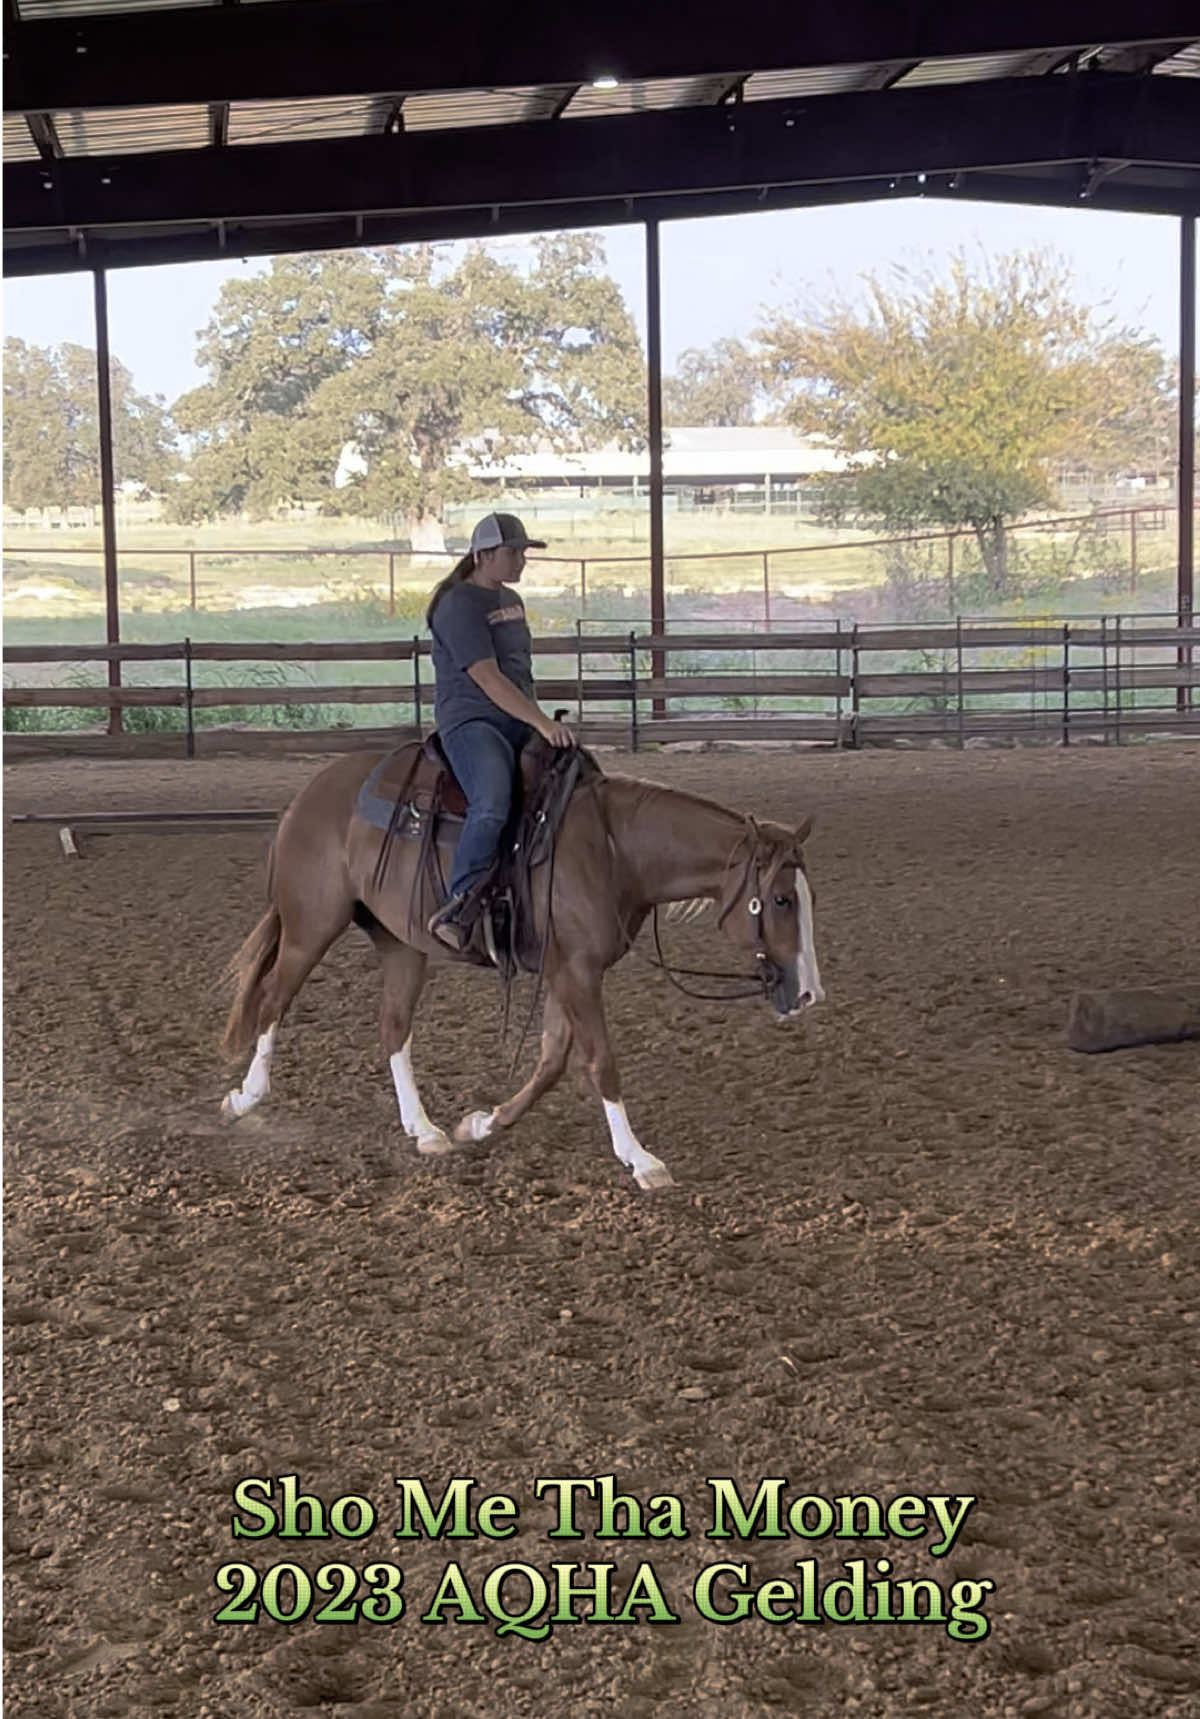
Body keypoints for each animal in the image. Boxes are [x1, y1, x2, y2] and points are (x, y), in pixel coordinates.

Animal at [219, 740, 825, 1190]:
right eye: (780, 900)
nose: (809, 995)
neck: (613, 852)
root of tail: (307, 795)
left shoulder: (566, 971)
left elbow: (552, 1061)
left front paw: (482, 1124)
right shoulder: (576, 973)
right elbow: (601, 1062)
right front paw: (640, 1158)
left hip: (400, 944)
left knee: (393, 1026)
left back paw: (425, 1129)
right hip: (311, 927)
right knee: (273, 999)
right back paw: (245, 1099)